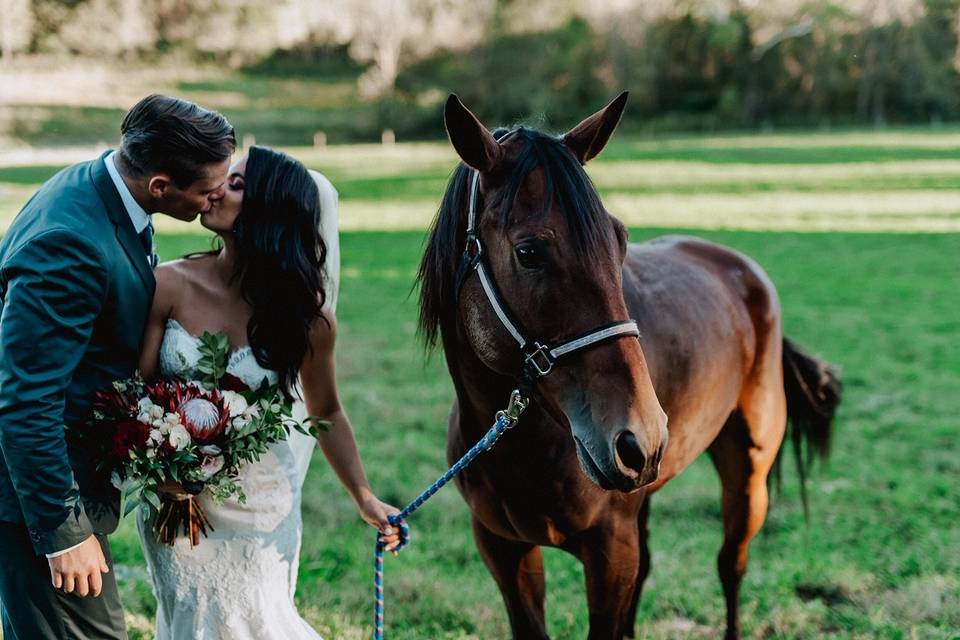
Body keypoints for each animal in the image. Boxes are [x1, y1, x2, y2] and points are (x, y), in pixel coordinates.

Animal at [416, 91, 836, 640]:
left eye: (619, 240)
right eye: (528, 251)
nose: (640, 435)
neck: (525, 446)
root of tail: (743, 269)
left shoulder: (610, 552)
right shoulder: (503, 550)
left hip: (746, 474)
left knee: (731, 564)